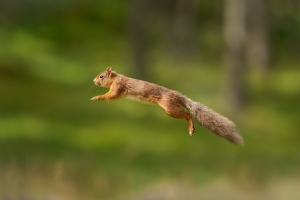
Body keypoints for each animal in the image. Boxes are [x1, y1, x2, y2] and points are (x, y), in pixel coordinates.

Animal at [90, 68, 243, 145]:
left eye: (101, 76)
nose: (93, 80)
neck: (116, 78)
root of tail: (177, 96)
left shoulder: (118, 87)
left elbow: (111, 95)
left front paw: (97, 97)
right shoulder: (120, 93)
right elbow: (114, 97)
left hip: (170, 108)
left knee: (187, 114)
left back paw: (191, 128)